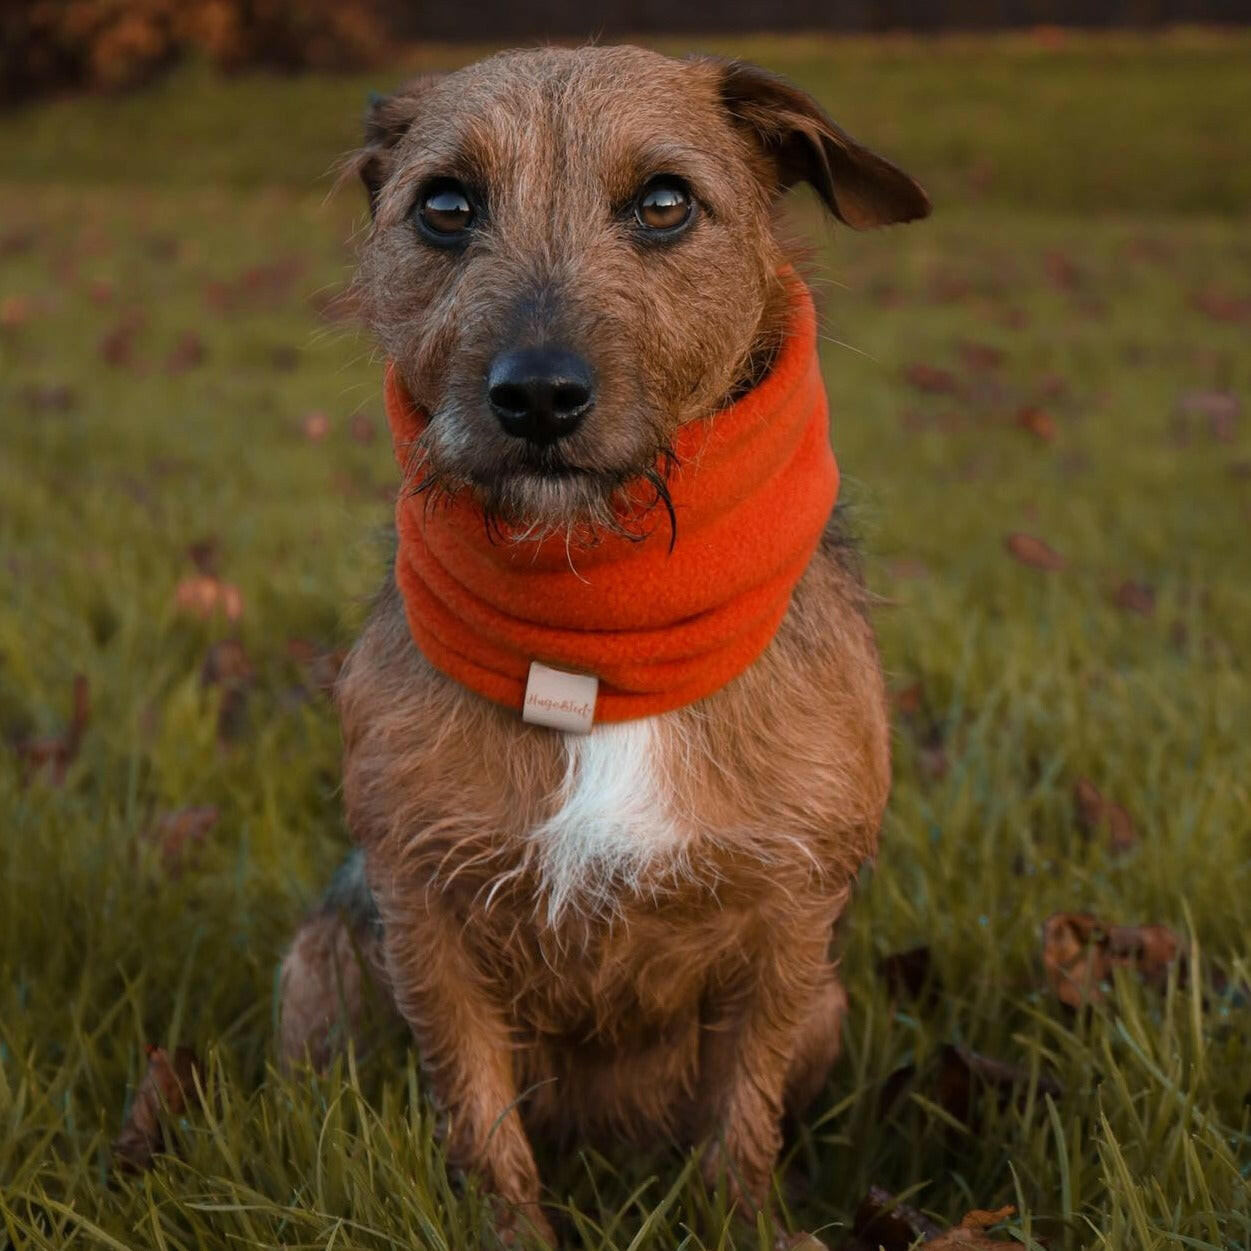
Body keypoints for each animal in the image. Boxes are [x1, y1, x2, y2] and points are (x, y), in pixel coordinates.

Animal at [283, 44, 930, 1245]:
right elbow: (480, 1121)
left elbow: (741, 1113)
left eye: (665, 202)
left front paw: (745, 1220)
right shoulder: (423, 911)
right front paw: (506, 1228)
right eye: (445, 206)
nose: (537, 394)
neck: (597, 639)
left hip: (830, 997)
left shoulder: (789, 923)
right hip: (322, 966)